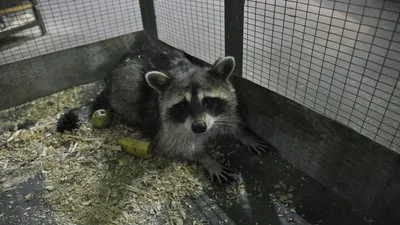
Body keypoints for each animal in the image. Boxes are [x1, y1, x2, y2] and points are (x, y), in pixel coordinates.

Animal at [95, 43, 274, 183]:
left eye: (208, 101)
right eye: (182, 105)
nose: (199, 127)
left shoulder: (222, 109)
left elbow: (230, 119)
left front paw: (244, 135)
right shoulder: (166, 128)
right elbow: (175, 146)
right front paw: (206, 159)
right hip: (125, 86)